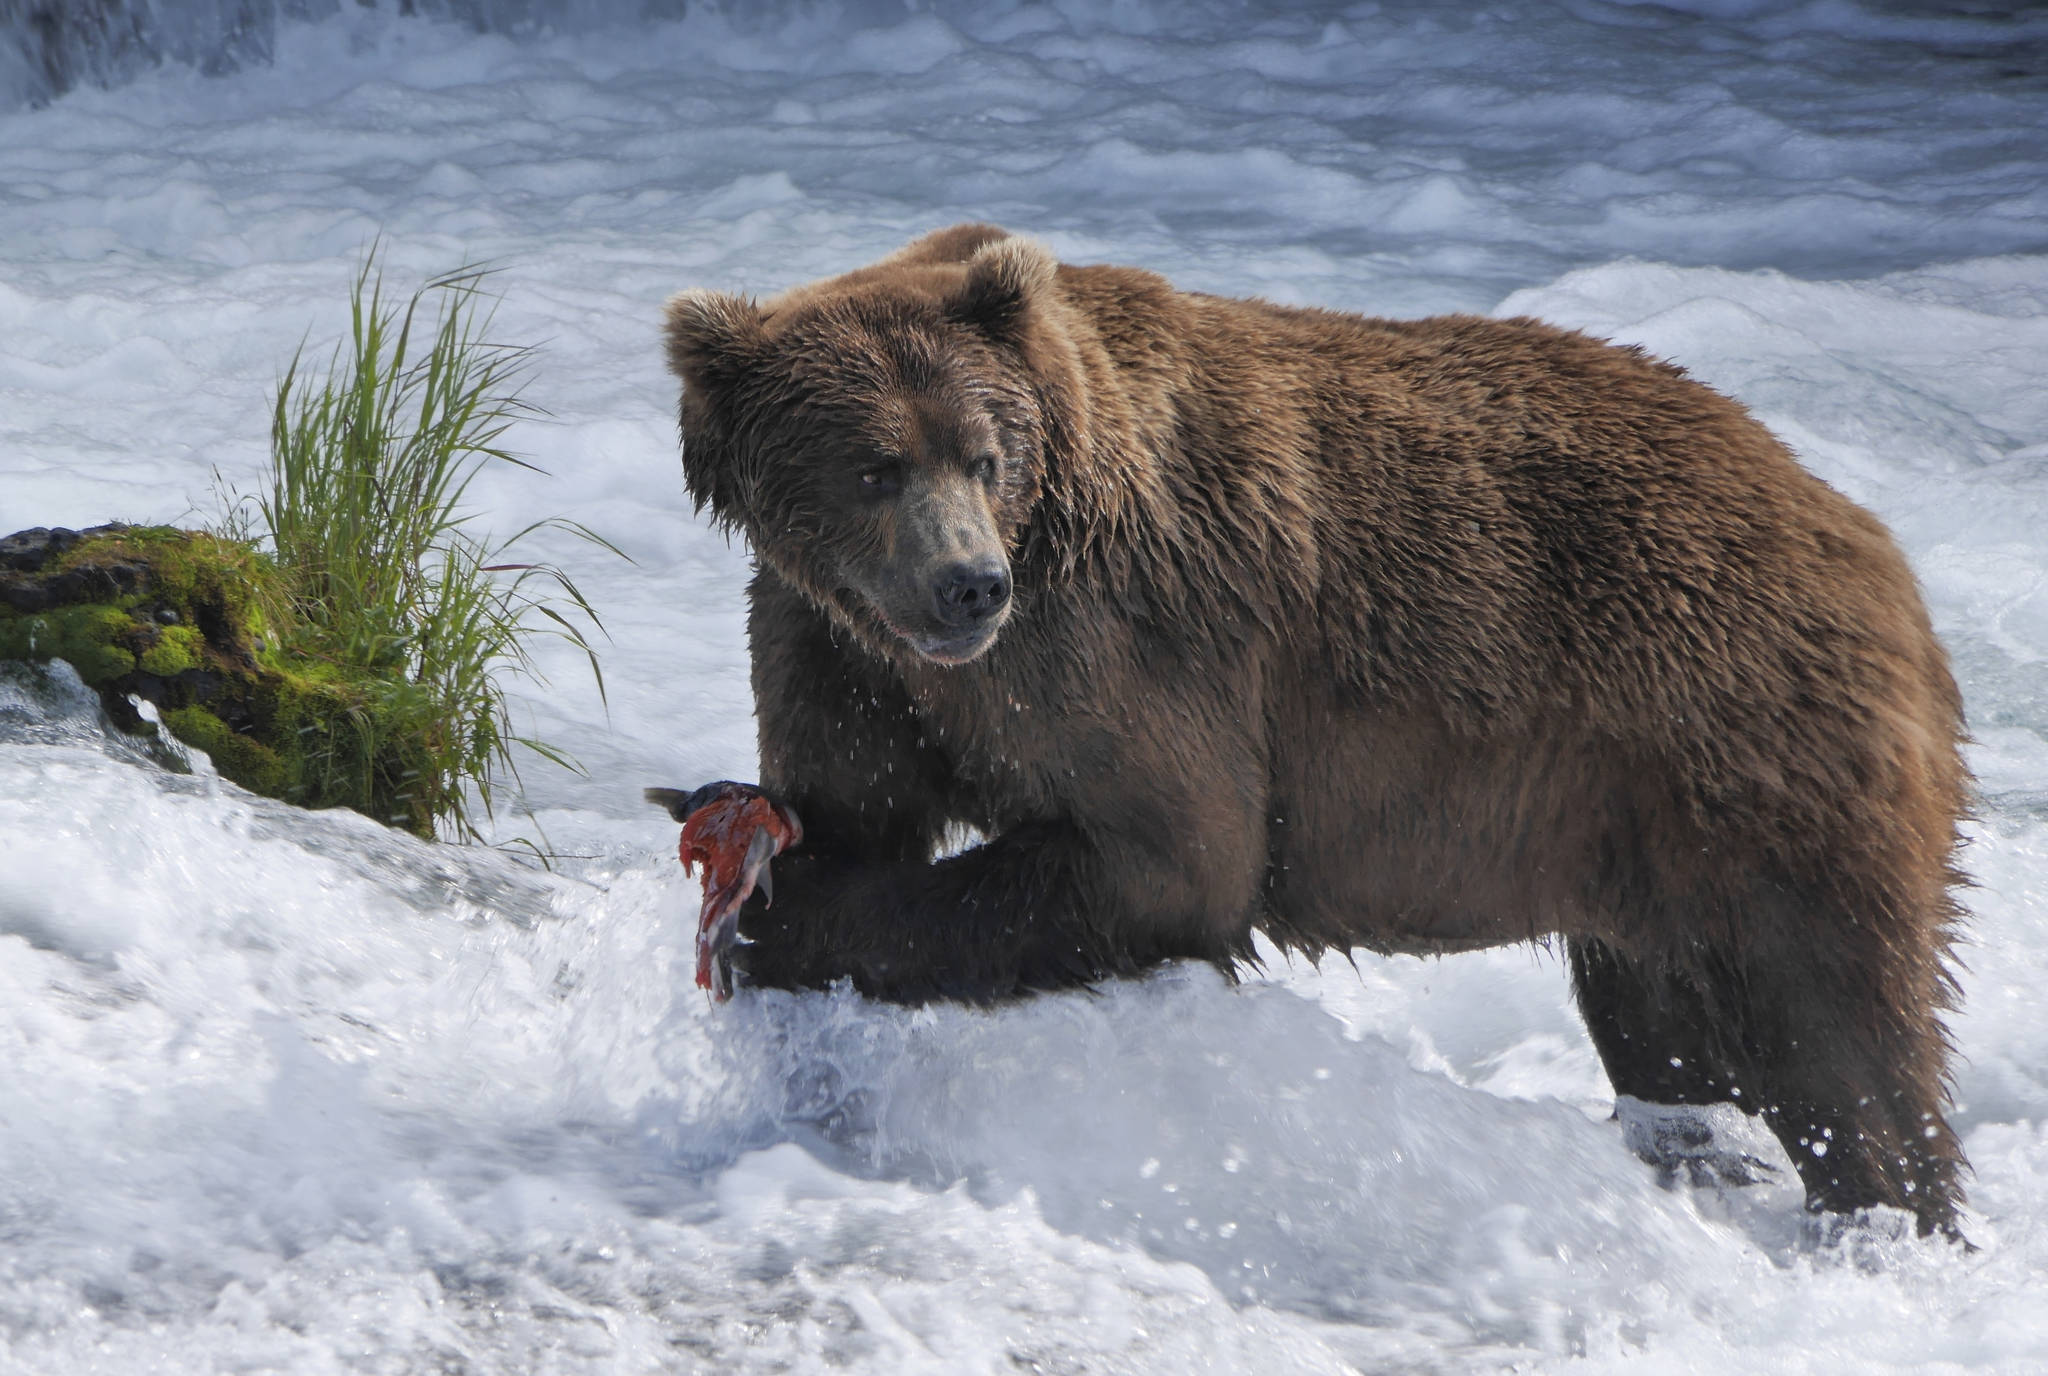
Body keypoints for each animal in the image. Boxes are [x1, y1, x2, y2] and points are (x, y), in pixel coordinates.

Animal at [663, 223, 1974, 1236]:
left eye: (981, 455)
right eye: (873, 467)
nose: (966, 585)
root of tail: (1873, 544)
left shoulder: (1117, 639)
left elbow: (1168, 851)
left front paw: (779, 916)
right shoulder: (837, 648)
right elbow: (855, 801)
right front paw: (765, 858)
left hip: (1742, 737)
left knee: (1839, 1030)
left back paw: (1891, 1217)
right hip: (1630, 812)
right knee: (1660, 1013)